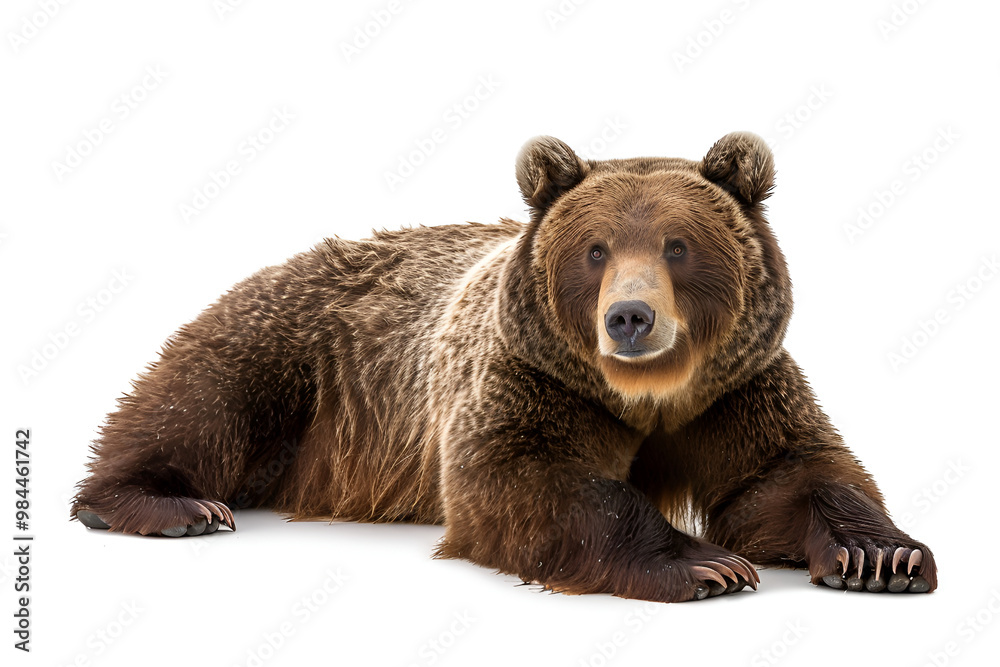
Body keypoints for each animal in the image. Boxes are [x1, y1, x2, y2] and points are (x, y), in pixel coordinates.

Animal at [72, 132, 936, 602]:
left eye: (678, 245)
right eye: (596, 250)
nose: (630, 317)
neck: (645, 396)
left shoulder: (734, 387)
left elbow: (786, 471)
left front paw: (879, 554)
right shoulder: (531, 378)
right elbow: (523, 480)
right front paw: (706, 564)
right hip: (297, 348)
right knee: (200, 401)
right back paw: (168, 502)